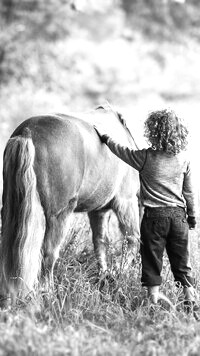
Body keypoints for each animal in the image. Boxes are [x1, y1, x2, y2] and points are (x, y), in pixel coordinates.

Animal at [0, 105, 140, 304]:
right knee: (49, 253)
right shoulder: (126, 201)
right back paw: (48, 292)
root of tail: (27, 133)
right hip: (59, 216)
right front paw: (117, 273)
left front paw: (104, 275)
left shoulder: (98, 211)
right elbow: (132, 240)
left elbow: (100, 242)